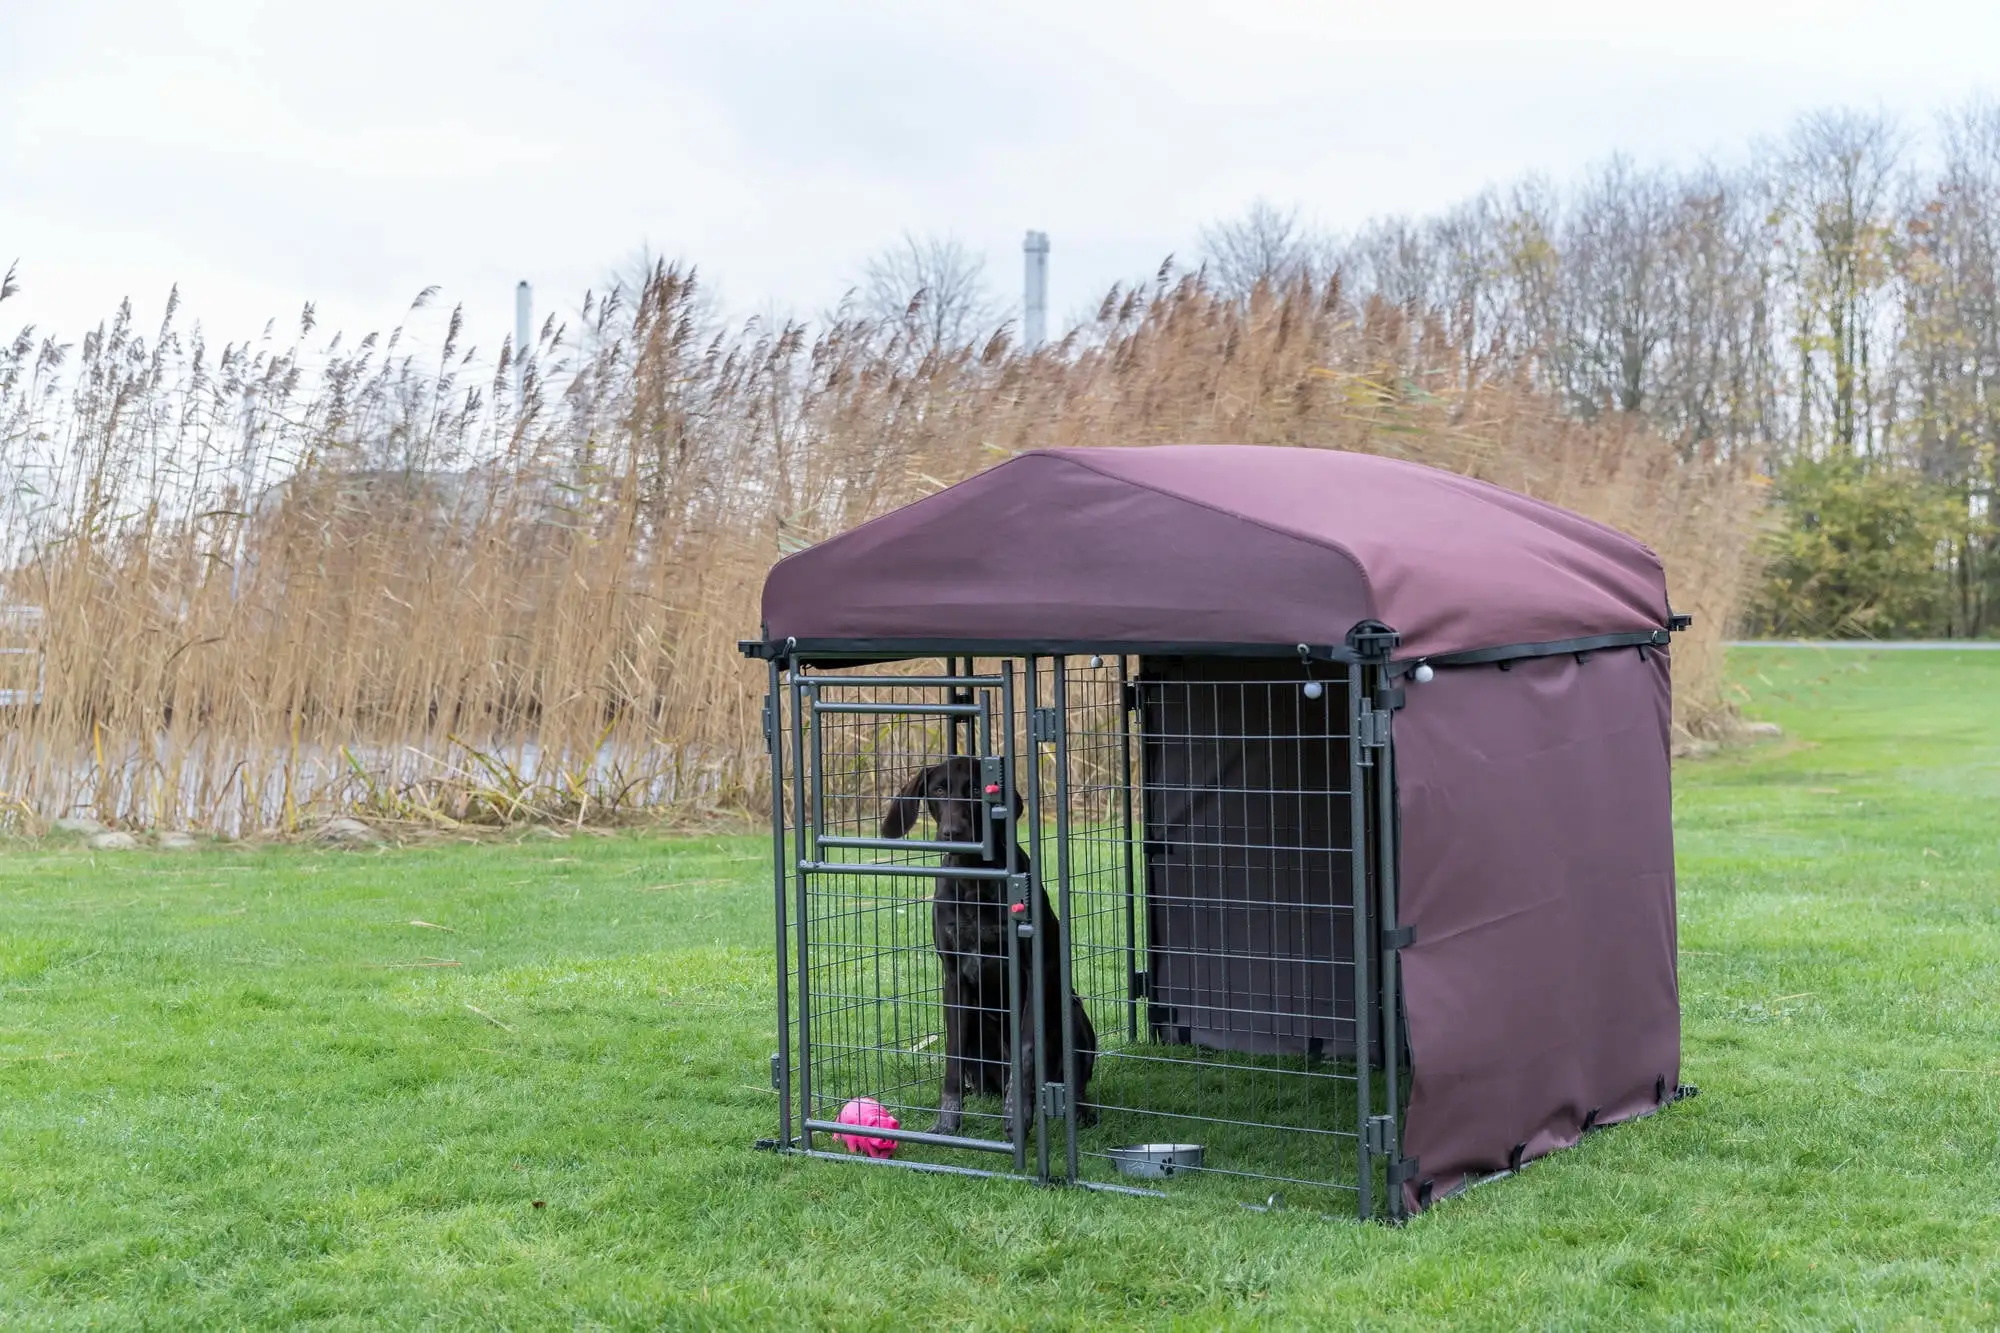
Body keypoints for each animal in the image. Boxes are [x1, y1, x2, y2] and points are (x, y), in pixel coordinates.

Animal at [884, 756, 1104, 1128]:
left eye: (975, 789)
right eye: (939, 790)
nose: (953, 833)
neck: (974, 879)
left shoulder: (1033, 971)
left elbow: (1027, 1050)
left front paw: (1019, 1110)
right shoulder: (955, 979)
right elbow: (952, 1060)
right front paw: (947, 1122)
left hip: (1071, 1011)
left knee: (1072, 1080)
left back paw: (1078, 1109)